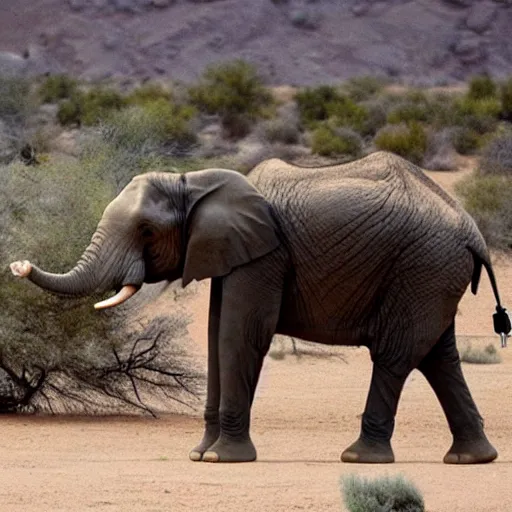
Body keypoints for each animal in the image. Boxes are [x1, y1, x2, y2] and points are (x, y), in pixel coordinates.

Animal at [10, 151, 510, 464]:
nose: (17, 263)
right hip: (431, 274)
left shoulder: (266, 255)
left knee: (395, 355)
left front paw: (221, 458)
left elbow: (240, 334)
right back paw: (471, 458)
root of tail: (474, 233)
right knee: (438, 357)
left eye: (147, 232)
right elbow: (215, 334)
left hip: (422, 267)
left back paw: (359, 456)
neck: (195, 181)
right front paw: (200, 454)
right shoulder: (229, 254)